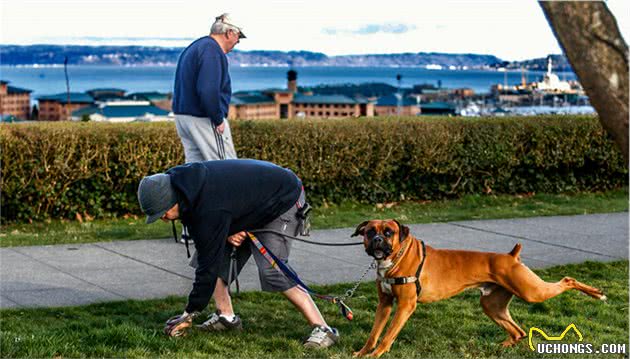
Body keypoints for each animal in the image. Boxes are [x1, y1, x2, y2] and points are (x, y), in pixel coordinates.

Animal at [356, 219, 608, 358]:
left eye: (388, 232)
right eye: (370, 232)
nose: (377, 240)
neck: (397, 256)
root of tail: (511, 256)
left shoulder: (405, 306)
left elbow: (387, 335)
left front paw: (377, 354)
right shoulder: (385, 305)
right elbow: (374, 333)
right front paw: (362, 353)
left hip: (532, 292)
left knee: (567, 280)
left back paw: (596, 293)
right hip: (491, 304)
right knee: (518, 331)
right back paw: (502, 347)